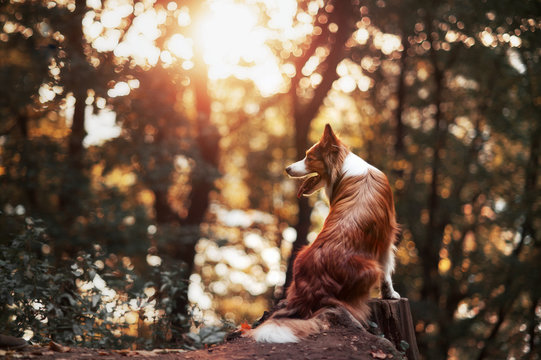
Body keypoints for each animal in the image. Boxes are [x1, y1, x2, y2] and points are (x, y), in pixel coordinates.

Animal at [251, 124, 398, 344]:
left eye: (309, 158)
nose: (287, 169)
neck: (345, 165)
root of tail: (311, 291)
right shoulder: (387, 238)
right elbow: (387, 270)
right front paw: (391, 294)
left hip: (301, 255)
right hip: (371, 268)